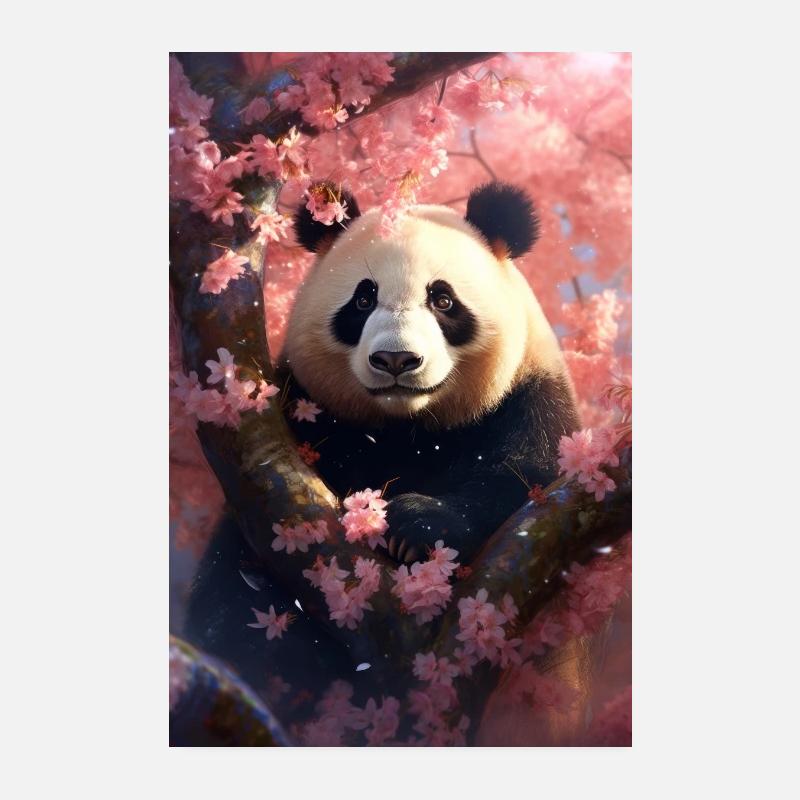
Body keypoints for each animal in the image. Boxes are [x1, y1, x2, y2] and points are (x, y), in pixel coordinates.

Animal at [185, 181, 579, 692]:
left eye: (443, 300)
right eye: (363, 300)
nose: (396, 359)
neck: (407, 426)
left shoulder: (527, 397)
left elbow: (525, 482)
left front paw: (415, 526)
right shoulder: (306, 404)